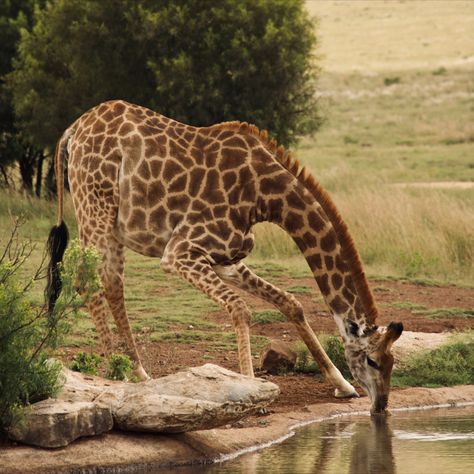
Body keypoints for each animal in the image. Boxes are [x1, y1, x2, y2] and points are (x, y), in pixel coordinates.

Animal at [46, 99, 404, 412]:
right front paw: (254, 392)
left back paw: (137, 373)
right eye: (372, 360)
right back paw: (115, 371)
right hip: (95, 207)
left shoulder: (226, 259)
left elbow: (291, 303)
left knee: (112, 282)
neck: (265, 196)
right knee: (87, 280)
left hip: (114, 224)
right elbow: (241, 309)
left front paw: (341, 384)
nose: (381, 406)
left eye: (392, 362)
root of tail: (71, 132)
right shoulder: (180, 252)